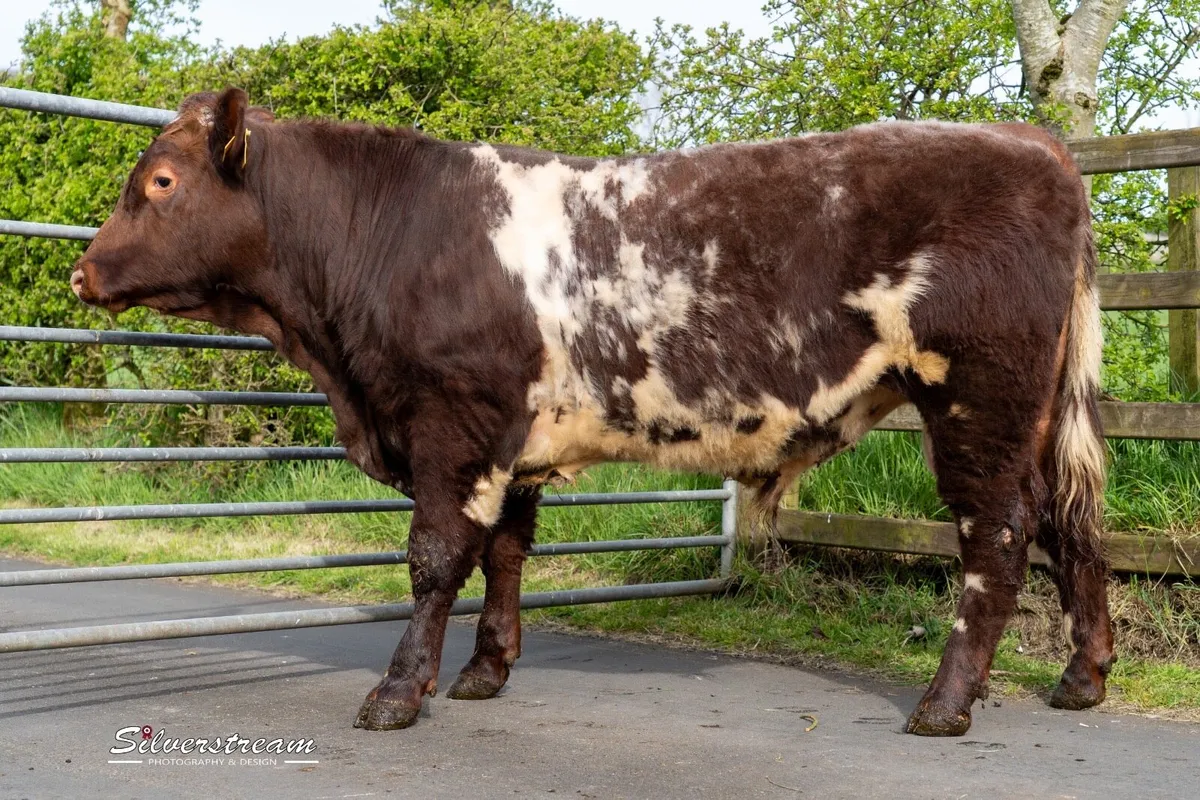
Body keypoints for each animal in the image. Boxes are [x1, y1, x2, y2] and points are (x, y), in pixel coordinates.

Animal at [71, 87, 1114, 737]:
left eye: (160, 183)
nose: (82, 272)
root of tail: (1032, 142)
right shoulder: (511, 436)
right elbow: (505, 550)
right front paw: (485, 672)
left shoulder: (452, 421)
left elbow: (435, 556)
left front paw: (400, 691)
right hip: (1035, 413)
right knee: (1071, 522)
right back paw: (1082, 678)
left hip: (979, 397)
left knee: (999, 536)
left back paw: (945, 703)